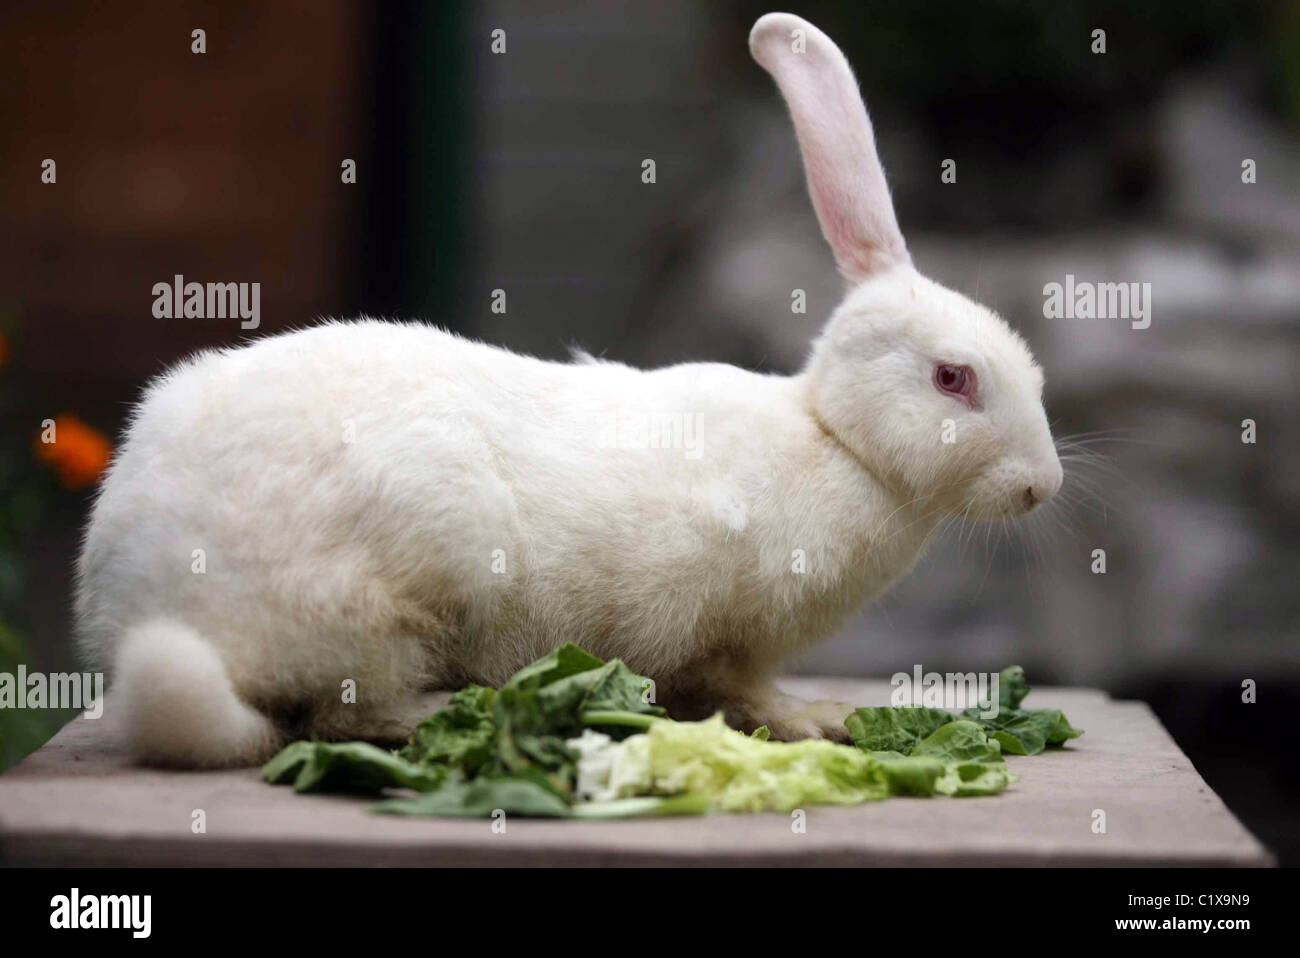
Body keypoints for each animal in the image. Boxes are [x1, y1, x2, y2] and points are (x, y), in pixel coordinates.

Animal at [76, 11, 1060, 764]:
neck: (835, 437)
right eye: (953, 378)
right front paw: (815, 720)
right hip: (399, 587)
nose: (1041, 488)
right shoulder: (721, 628)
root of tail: (142, 597)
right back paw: (448, 714)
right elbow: (741, 686)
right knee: (344, 709)